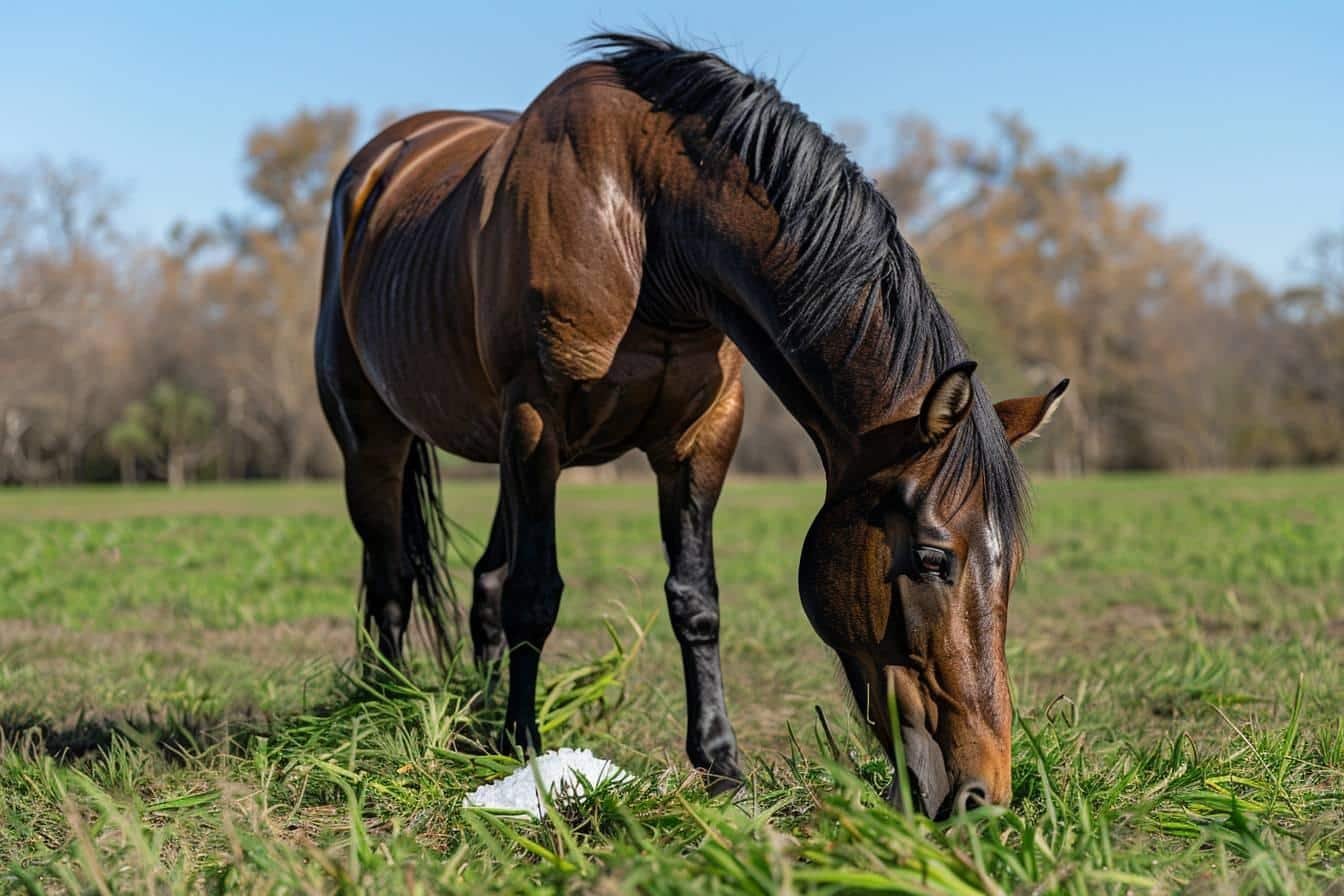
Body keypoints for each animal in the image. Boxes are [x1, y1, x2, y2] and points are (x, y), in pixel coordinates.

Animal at [314, 33, 1069, 822]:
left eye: (1011, 565)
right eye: (930, 558)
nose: (983, 793)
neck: (647, 225)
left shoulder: (701, 439)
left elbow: (694, 600)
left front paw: (721, 766)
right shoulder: (535, 421)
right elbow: (536, 593)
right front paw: (527, 755)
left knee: (484, 580)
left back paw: (481, 713)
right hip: (377, 439)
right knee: (393, 577)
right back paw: (388, 699)